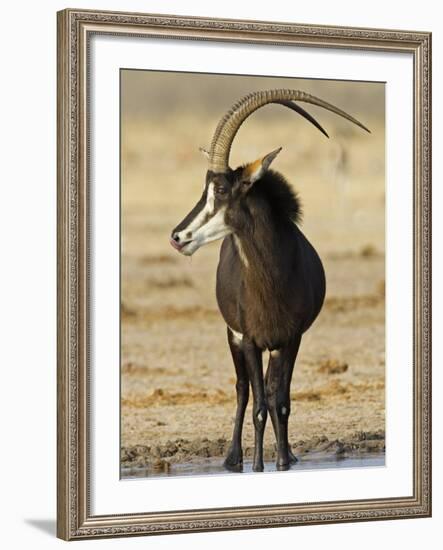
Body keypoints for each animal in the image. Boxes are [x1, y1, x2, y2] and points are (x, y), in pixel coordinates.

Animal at [170, 88, 372, 472]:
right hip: (234, 338)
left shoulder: (290, 340)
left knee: (271, 389)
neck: (271, 279)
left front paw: (282, 462)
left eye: (221, 190)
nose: (178, 237)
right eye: (206, 189)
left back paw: (286, 452)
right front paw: (258, 466)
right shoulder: (249, 340)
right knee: (243, 390)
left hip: (273, 345)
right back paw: (233, 458)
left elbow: (281, 402)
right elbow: (259, 406)